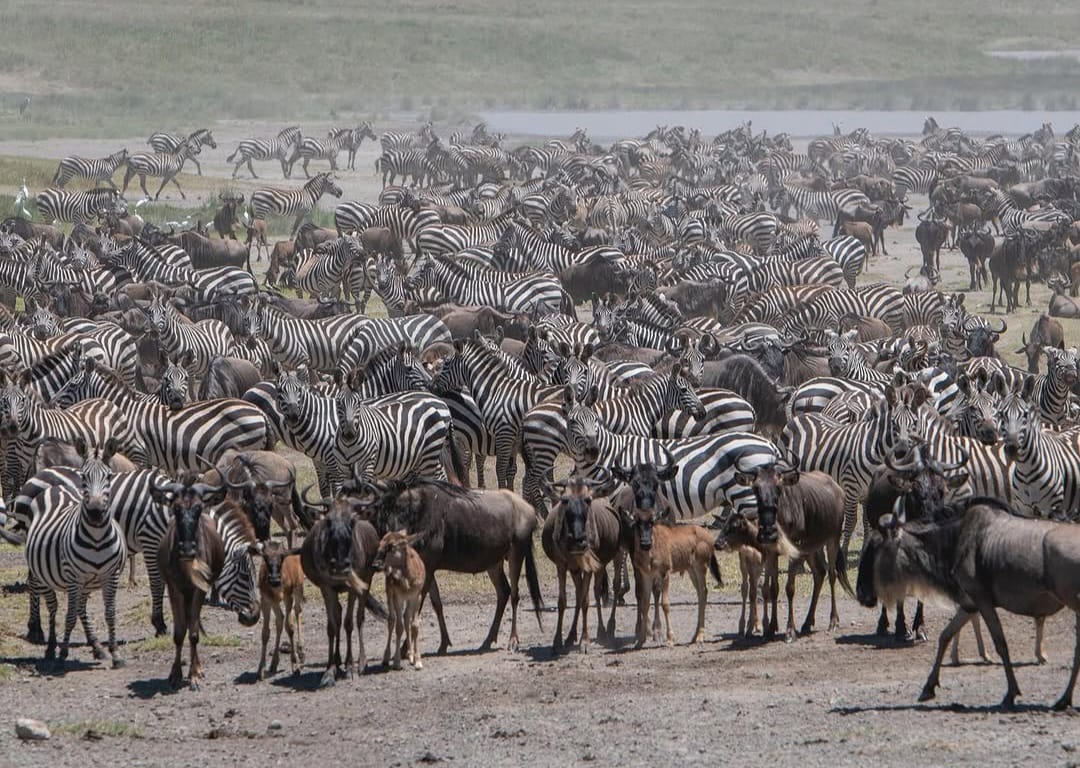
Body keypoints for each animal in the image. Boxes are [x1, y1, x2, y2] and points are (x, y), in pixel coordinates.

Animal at [25, 439, 127, 668]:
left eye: (109, 476)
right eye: (83, 476)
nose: (96, 513)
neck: (97, 538)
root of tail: (57, 487)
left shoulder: (111, 576)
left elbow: (110, 613)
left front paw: (115, 653)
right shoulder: (73, 577)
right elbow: (69, 615)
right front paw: (63, 653)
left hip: (87, 583)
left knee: (80, 606)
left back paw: (96, 646)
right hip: (44, 576)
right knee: (53, 607)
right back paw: (51, 647)